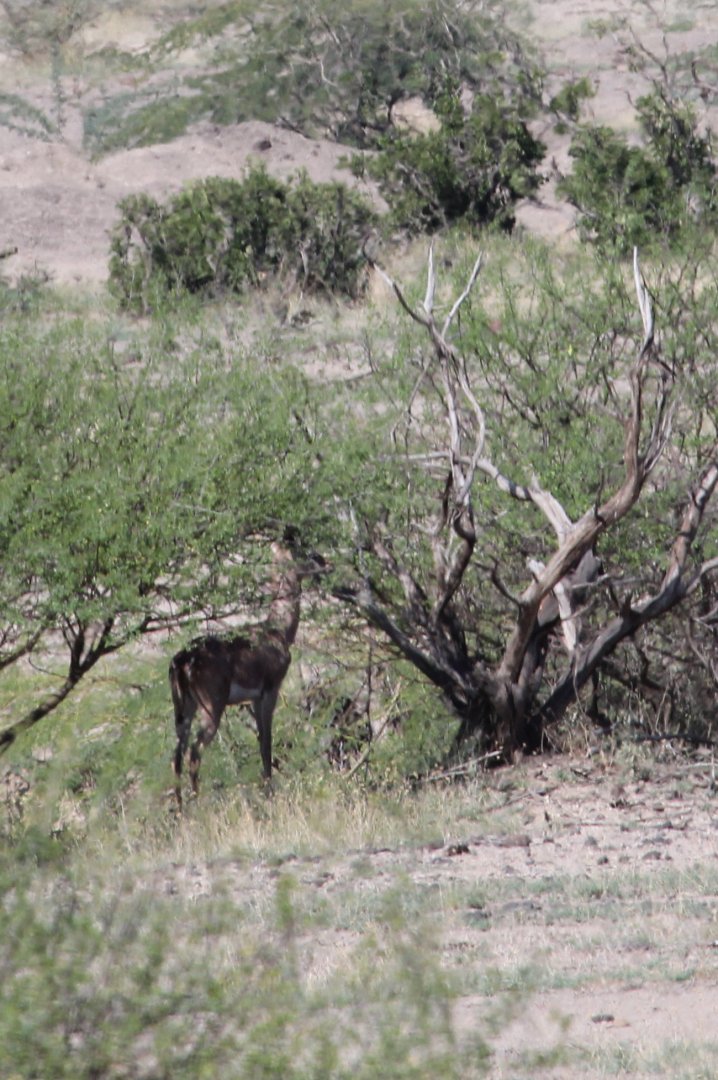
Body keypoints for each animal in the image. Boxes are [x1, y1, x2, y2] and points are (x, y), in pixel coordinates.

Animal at [170, 536, 318, 808]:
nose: (323, 561)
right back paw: (198, 804)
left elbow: (261, 742)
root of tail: (183, 660)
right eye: (299, 549)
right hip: (211, 709)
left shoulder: (254, 700)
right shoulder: (269, 692)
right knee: (195, 752)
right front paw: (269, 793)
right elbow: (267, 743)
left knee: (177, 754)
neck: (276, 630)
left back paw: (180, 808)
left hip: (185, 709)